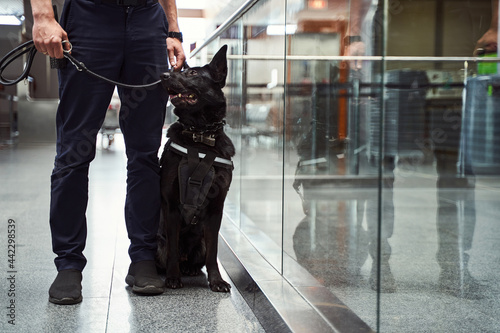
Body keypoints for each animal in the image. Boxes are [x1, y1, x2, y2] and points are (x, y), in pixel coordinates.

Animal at [156, 45, 234, 292]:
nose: (163, 75)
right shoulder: (171, 205)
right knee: (169, 253)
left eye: (192, 73)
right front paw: (173, 278)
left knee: (200, 258)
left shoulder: (216, 208)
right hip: (158, 242)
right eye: (178, 70)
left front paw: (216, 280)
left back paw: (191, 269)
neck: (199, 137)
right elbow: (172, 248)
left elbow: (214, 251)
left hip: (199, 243)